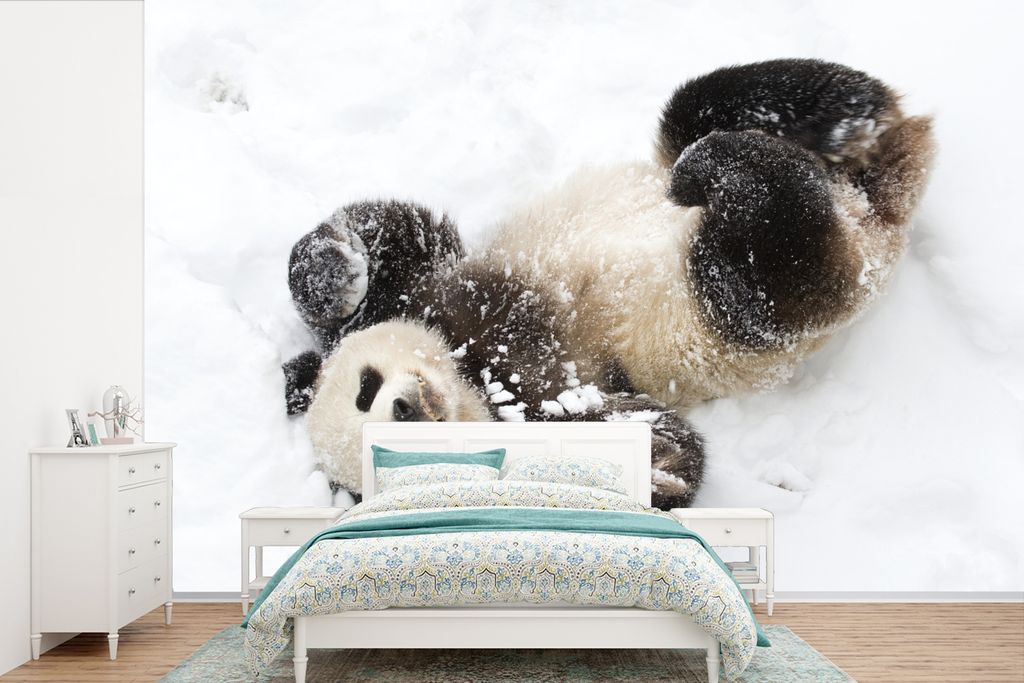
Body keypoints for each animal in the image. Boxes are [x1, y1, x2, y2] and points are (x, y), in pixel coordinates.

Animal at [283, 59, 935, 509]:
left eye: (366, 388)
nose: (407, 406)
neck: (470, 367)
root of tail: (871, 207)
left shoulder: (430, 289)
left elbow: (397, 232)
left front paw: (336, 272)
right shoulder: (537, 407)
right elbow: (652, 444)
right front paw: (660, 471)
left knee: (705, 109)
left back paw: (832, 123)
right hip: (747, 305)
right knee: (768, 263)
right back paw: (752, 168)